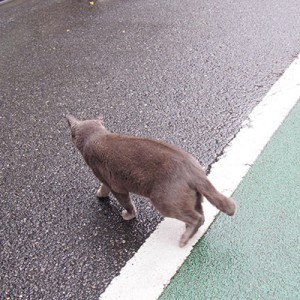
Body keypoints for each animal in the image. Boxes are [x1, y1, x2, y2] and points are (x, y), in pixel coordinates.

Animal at [66, 115, 237, 246]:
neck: (96, 136)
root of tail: (195, 170)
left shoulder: (116, 186)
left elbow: (126, 203)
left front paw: (128, 214)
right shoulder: (106, 180)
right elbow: (103, 187)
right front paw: (100, 194)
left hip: (163, 200)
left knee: (197, 218)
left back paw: (184, 238)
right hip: (194, 198)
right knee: (200, 213)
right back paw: (188, 231)